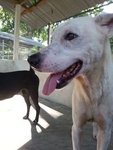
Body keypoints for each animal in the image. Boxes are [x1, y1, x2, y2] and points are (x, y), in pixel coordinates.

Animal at [27, 13, 113, 150]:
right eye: (52, 39)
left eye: (71, 36)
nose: (31, 59)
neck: (91, 90)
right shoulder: (76, 128)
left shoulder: (106, 131)